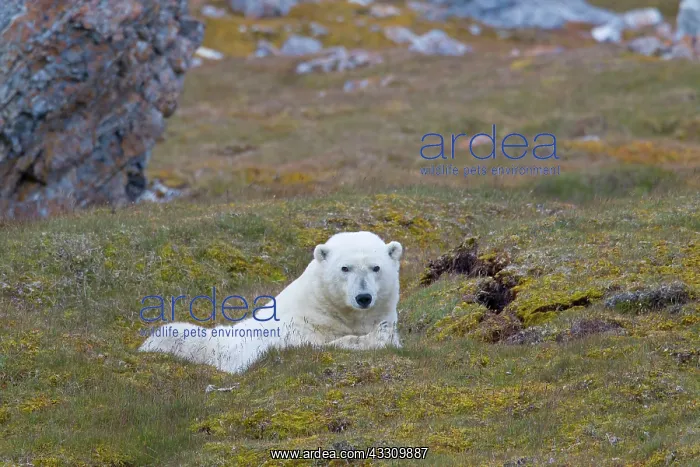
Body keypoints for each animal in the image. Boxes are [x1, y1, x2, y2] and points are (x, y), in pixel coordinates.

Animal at [138, 231, 404, 374]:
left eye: (376, 267)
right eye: (345, 268)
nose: (363, 297)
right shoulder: (297, 329)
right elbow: (320, 344)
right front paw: (377, 337)